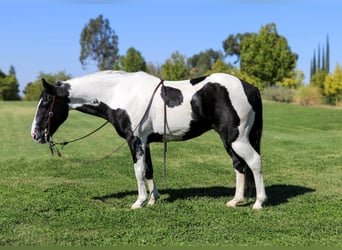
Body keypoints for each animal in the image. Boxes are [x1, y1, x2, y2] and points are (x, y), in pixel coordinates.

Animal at [31, 70, 268, 209]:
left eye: (46, 103)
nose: (35, 135)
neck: (119, 93)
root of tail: (250, 87)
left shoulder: (134, 140)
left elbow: (138, 171)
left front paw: (139, 202)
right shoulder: (146, 142)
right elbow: (149, 170)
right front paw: (154, 200)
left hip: (237, 139)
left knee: (254, 162)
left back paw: (258, 202)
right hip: (229, 140)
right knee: (239, 165)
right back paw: (236, 201)